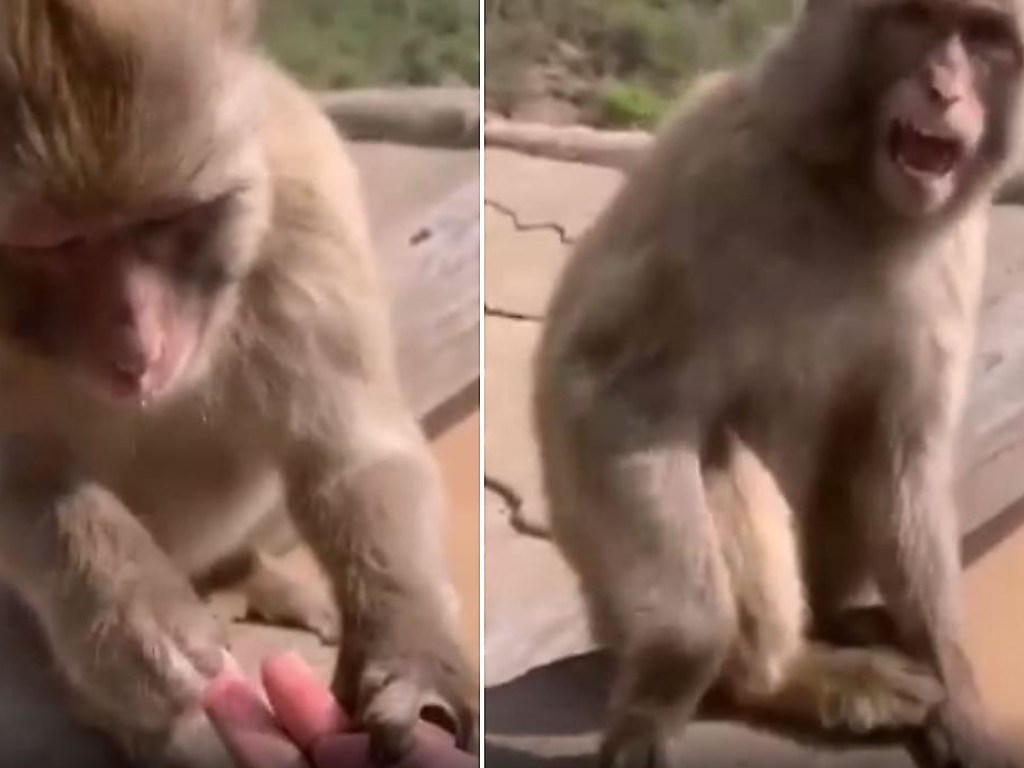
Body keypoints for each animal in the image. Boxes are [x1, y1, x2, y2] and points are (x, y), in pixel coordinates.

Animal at [0, 1, 475, 768]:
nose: (136, 345)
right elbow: (22, 478)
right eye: (59, 244)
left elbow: (353, 449)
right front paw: (134, 611)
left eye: (162, 220)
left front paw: (415, 661)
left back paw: (238, 571)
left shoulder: (306, 202)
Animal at [536, 1, 1024, 768]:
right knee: (710, 450)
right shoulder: (721, 171)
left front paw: (960, 692)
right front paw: (678, 662)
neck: (856, 203)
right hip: (617, 600)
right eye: (916, 20)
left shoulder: (955, 249)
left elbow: (902, 452)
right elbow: (611, 393)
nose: (944, 88)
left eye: (984, 39)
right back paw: (784, 676)